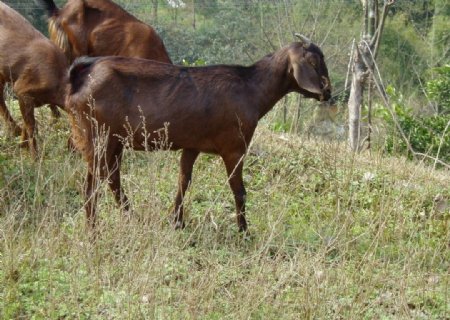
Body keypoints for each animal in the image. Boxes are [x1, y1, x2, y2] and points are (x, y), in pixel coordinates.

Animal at [0, 1, 68, 157]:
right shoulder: (22, 89)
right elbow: (31, 125)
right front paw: (34, 157)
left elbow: (29, 122)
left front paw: (22, 145)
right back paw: (14, 131)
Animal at [67, 38, 332, 232]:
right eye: (316, 61)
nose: (328, 92)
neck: (251, 87)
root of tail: (81, 75)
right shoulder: (234, 148)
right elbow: (239, 191)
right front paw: (244, 232)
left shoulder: (191, 145)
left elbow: (183, 181)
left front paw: (177, 222)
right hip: (98, 136)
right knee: (93, 183)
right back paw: (93, 230)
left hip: (112, 140)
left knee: (110, 178)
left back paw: (132, 218)